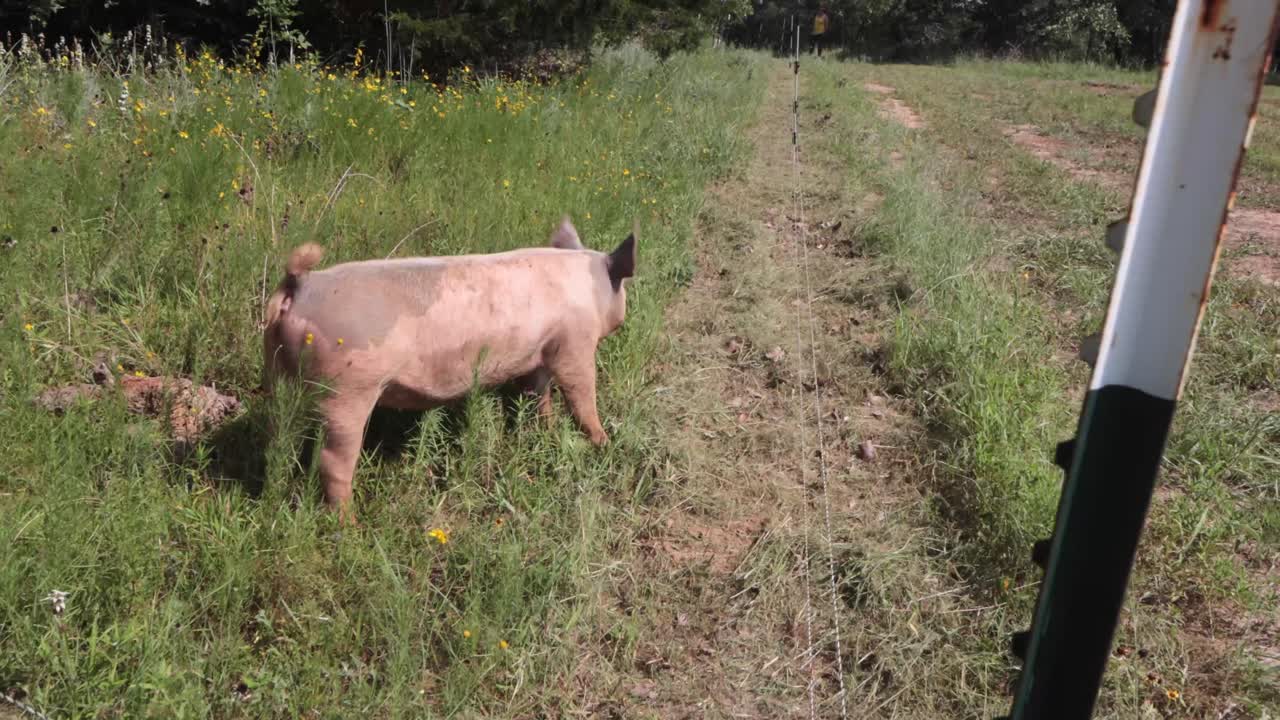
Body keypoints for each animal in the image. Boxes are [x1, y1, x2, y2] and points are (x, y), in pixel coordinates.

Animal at [262, 216, 636, 521]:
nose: (624, 313)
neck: (588, 288)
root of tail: (301, 283)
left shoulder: (542, 351)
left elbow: (537, 393)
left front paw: (545, 429)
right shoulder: (575, 341)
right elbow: (580, 392)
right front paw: (603, 442)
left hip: (281, 376)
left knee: (281, 437)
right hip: (347, 389)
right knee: (333, 461)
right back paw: (350, 526)